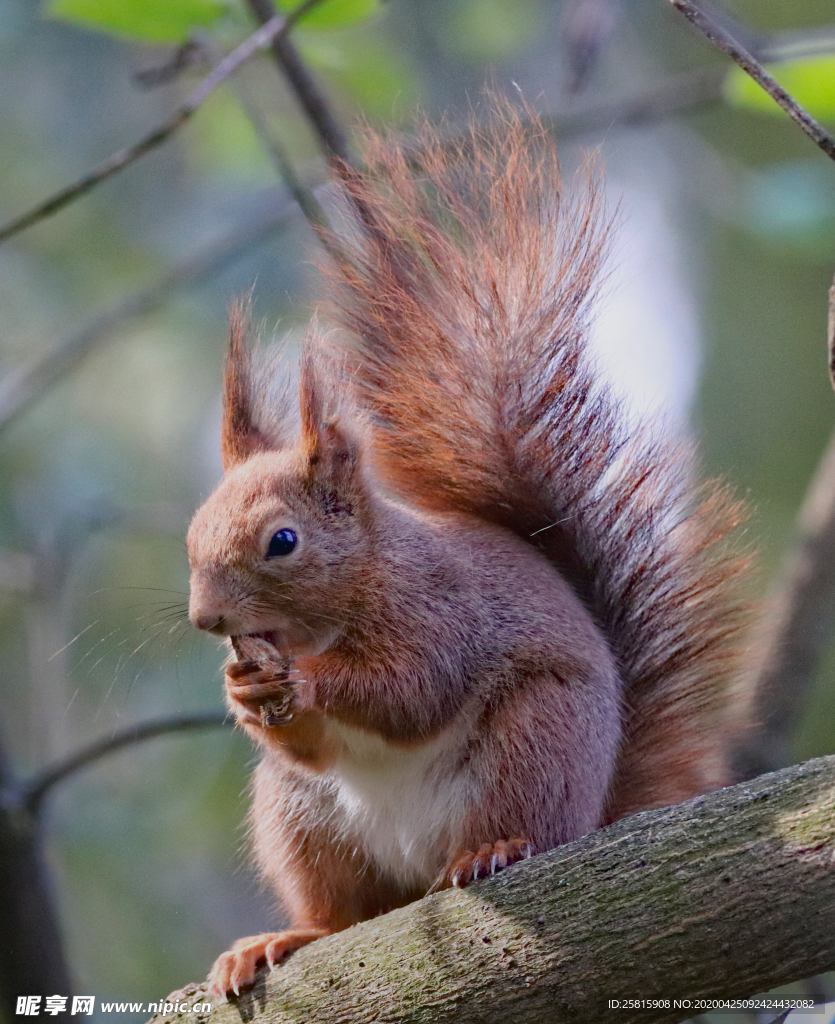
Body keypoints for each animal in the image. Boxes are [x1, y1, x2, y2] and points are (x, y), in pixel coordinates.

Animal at [186, 99, 754, 995]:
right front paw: (243, 692)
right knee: (347, 912)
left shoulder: (440, 612)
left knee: (509, 823)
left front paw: (308, 683)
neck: (357, 586)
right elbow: (311, 744)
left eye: (283, 541)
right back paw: (285, 938)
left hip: (533, 742)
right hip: (299, 819)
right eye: (193, 533)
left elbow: (413, 690)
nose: (207, 619)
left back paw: (491, 851)